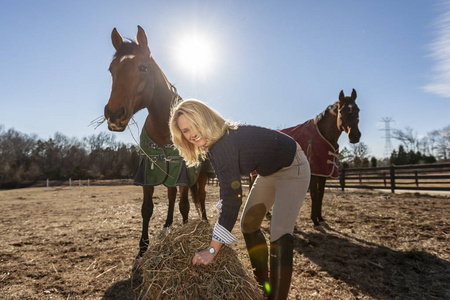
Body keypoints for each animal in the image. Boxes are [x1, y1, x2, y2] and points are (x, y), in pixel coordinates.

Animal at [103, 25, 208, 258]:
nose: (114, 114)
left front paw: (184, 233)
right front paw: (142, 249)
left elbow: (185, 205)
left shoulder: (183, 173)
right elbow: (147, 208)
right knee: (171, 197)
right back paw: (168, 225)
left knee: (201, 197)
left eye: (143, 67)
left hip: (202, 175)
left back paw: (204, 222)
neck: (163, 130)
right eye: (111, 70)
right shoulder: (148, 173)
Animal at [251, 90, 360, 226]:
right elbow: (314, 194)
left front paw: (320, 218)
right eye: (342, 111)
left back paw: (267, 213)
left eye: (357, 110)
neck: (323, 135)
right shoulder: (313, 172)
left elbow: (321, 194)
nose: (355, 136)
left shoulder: (323, 173)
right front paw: (314, 220)